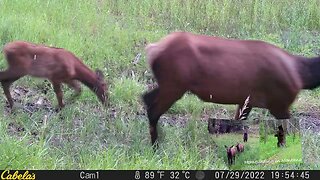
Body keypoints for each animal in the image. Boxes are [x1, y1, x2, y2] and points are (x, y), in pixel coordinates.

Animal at [143, 31, 320, 146]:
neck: (302, 75)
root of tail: (152, 49)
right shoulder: (280, 102)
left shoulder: (247, 101)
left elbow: (239, 122)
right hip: (174, 85)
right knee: (153, 109)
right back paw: (156, 146)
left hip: (169, 85)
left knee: (146, 98)